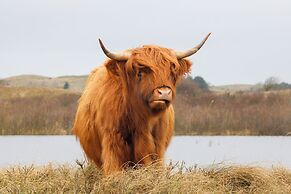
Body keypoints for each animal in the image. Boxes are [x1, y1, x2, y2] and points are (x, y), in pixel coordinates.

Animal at [72, 33, 211, 174]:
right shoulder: (112, 143)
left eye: (171, 73)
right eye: (140, 73)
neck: (140, 120)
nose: (164, 92)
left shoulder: (156, 146)